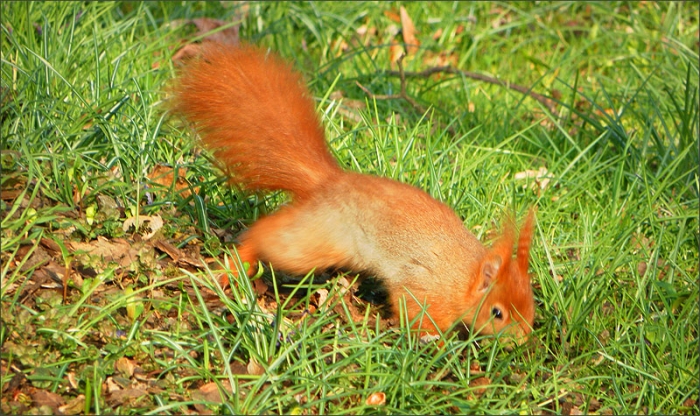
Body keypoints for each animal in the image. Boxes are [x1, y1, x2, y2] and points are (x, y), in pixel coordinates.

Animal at [168, 43, 536, 339]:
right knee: (266, 237)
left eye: (531, 304)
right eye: (497, 313)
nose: (522, 340)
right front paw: (433, 341)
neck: (464, 276)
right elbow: (414, 311)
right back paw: (235, 264)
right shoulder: (424, 288)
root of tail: (330, 181)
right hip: (315, 239)